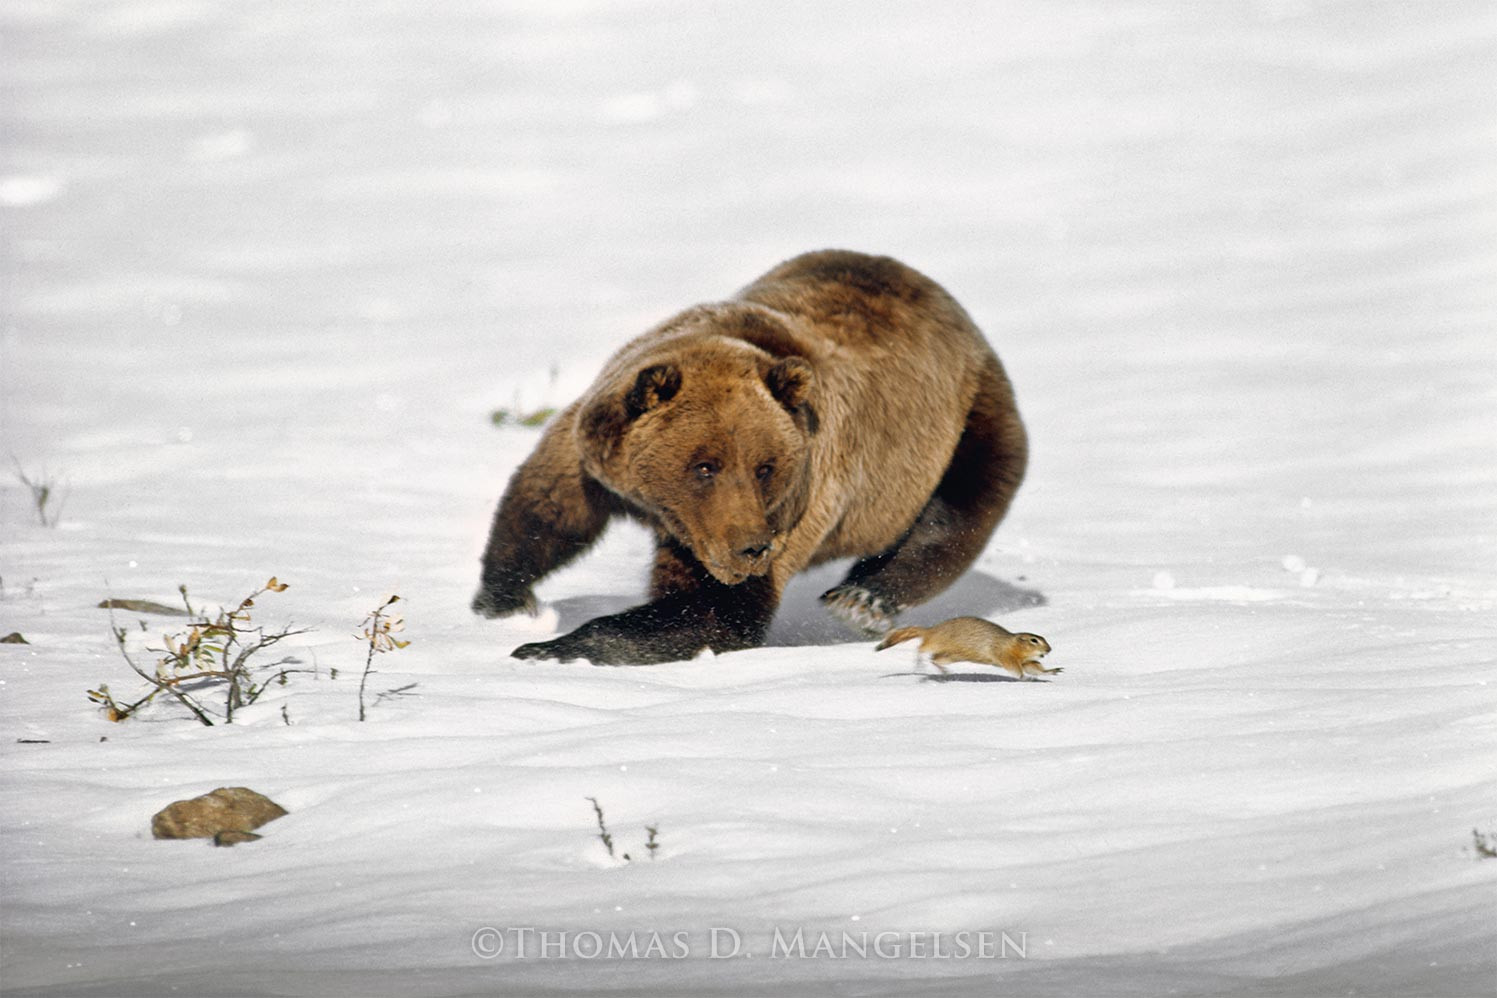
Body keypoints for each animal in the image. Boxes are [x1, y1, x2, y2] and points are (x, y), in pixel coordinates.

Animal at [471, 250, 1028, 665]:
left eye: (765, 467)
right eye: (704, 465)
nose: (751, 548)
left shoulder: (798, 499)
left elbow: (716, 609)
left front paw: (549, 648)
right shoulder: (595, 458)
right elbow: (546, 508)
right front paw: (503, 604)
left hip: (965, 421)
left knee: (956, 510)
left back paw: (862, 598)